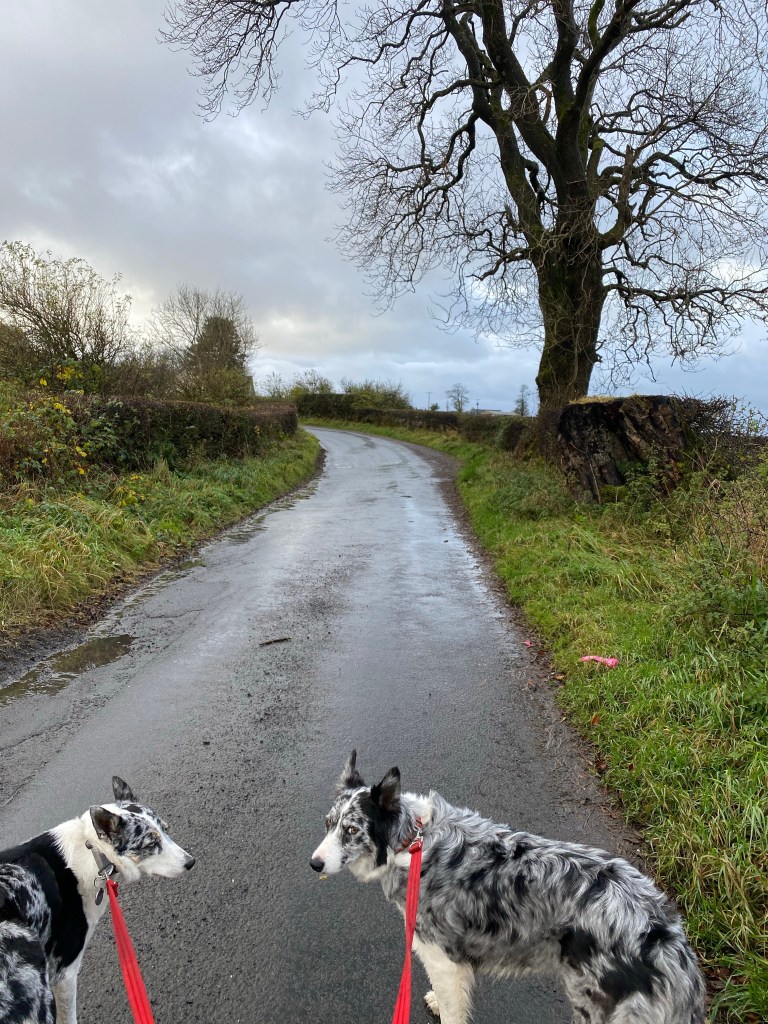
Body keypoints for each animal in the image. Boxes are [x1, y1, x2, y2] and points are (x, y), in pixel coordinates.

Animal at [310, 752, 706, 1024]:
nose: (314, 864)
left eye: (351, 830)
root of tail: (667, 940)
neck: (411, 842)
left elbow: (453, 1009)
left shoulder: (440, 957)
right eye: (328, 824)